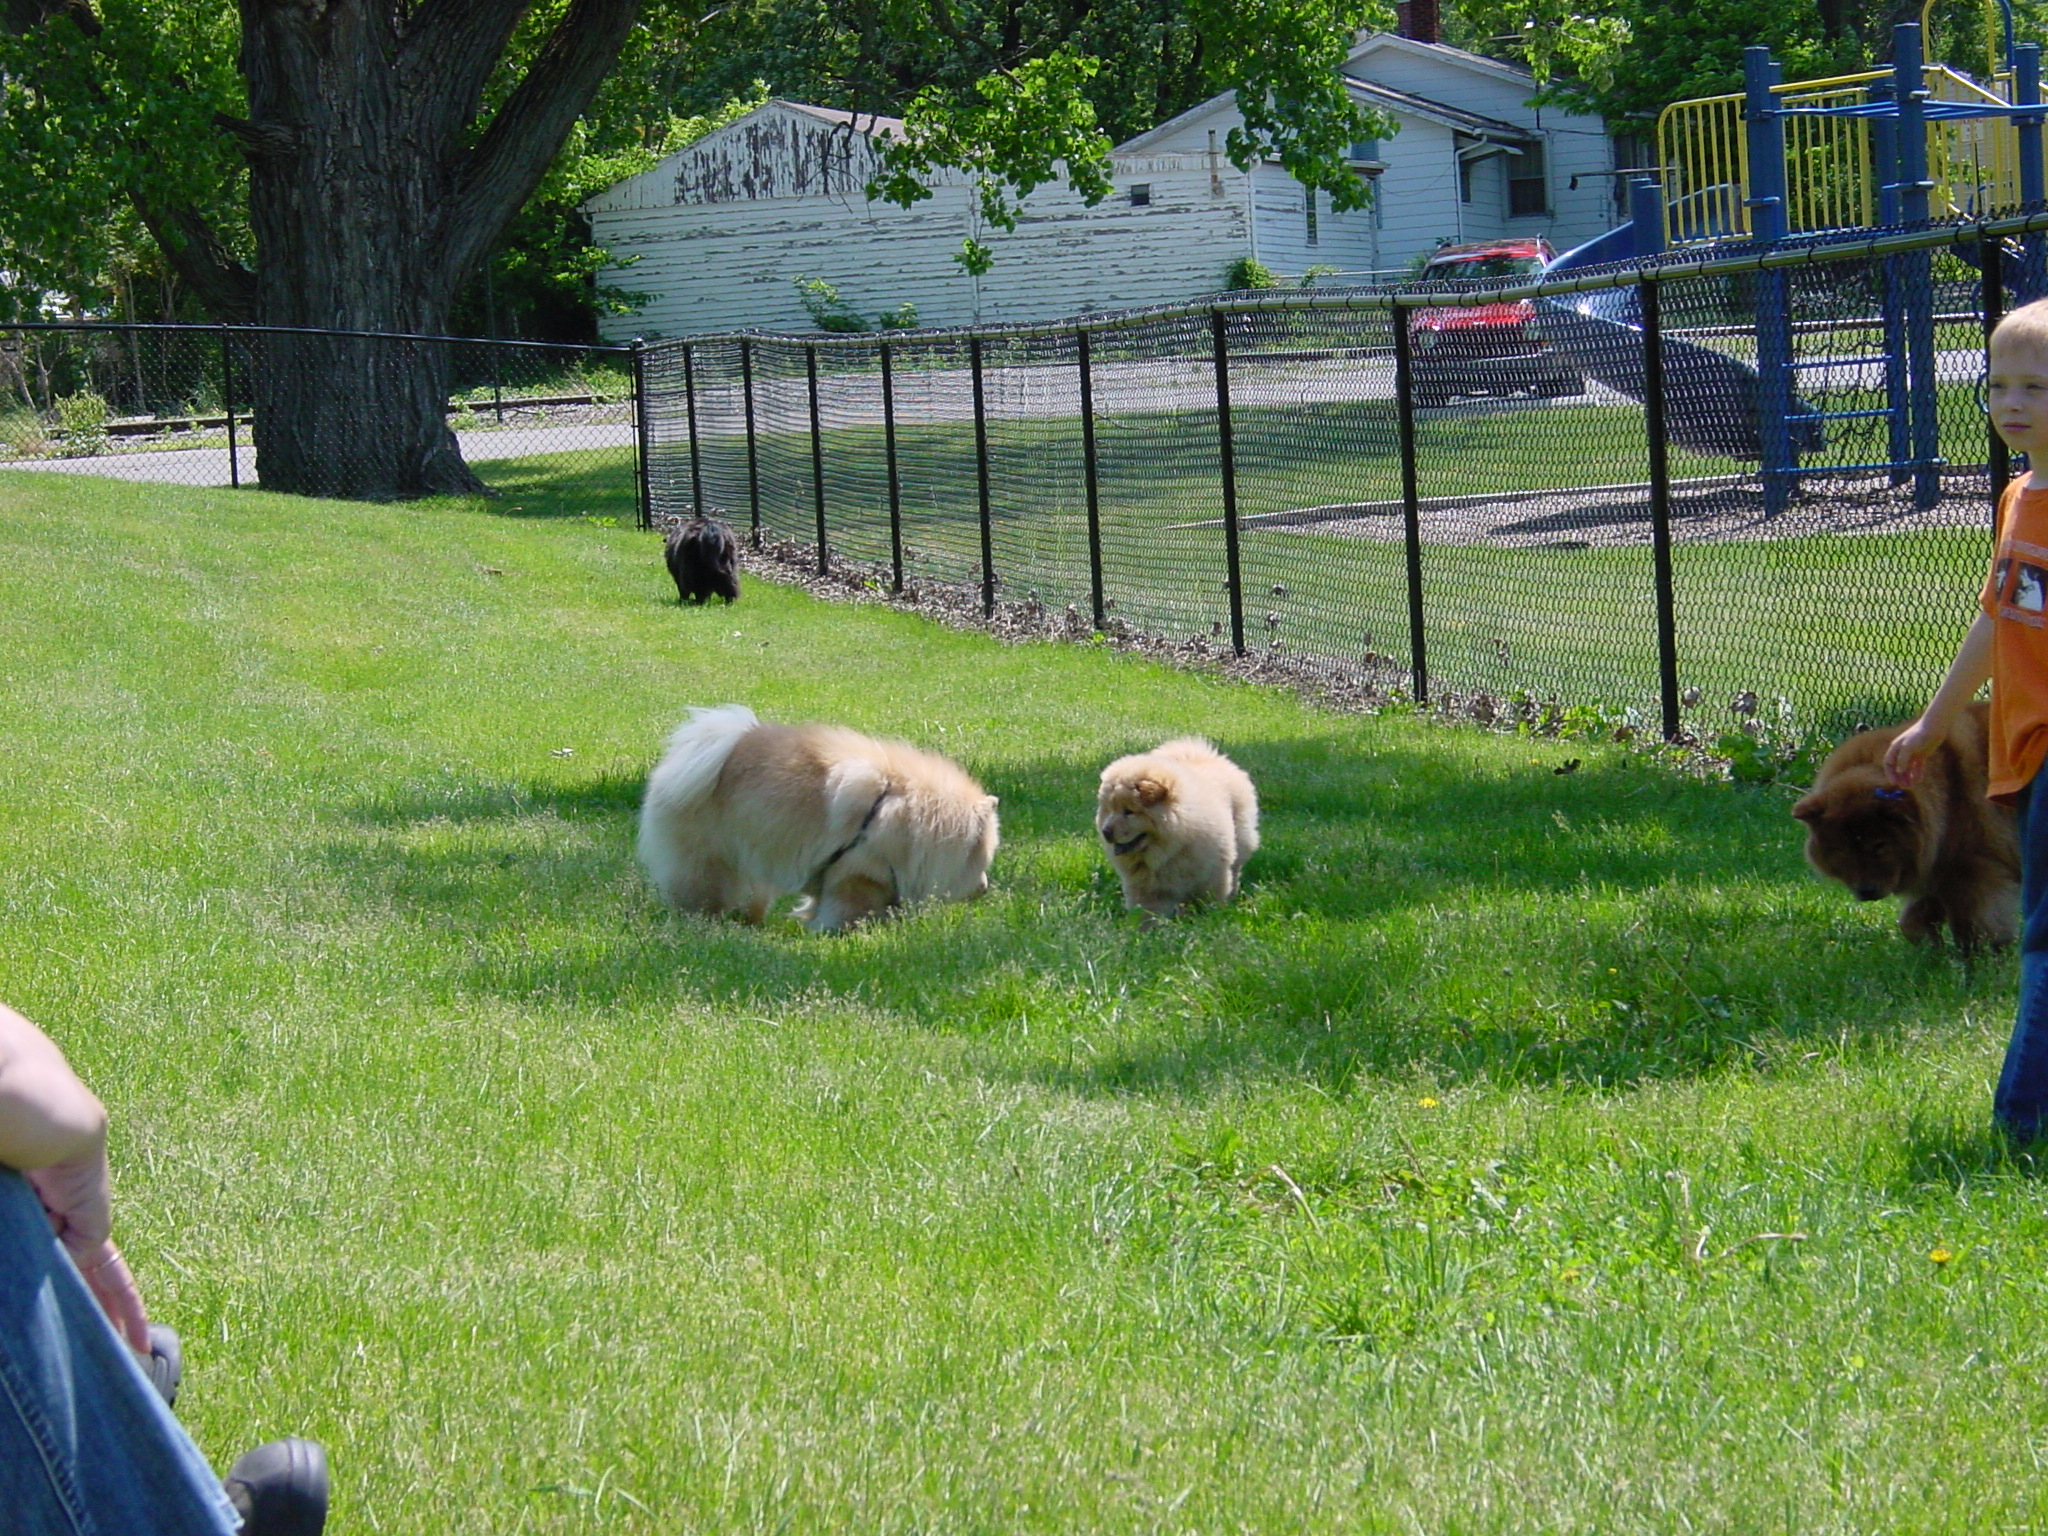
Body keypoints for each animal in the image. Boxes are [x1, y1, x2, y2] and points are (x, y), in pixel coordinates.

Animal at [634, 704, 995, 933]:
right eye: (982, 859)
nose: (984, 887)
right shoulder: (859, 873)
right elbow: (848, 909)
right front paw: (838, 934)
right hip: (709, 860)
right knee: (701, 891)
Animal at [1097, 741, 1253, 921]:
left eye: (1129, 811)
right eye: (1109, 810)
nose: (1105, 831)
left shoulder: (1212, 875)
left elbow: (1210, 901)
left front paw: (1212, 917)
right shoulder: (1146, 888)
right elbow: (1145, 914)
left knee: (1235, 871)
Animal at [1794, 708, 2015, 950]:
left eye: (1879, 845)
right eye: (1842, 849)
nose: (1866, 891)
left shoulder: (1970, 868)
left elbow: (1970, 922)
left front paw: (1974, 955)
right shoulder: (1935, 870)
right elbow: (1912, 921)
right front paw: (1930, 946)